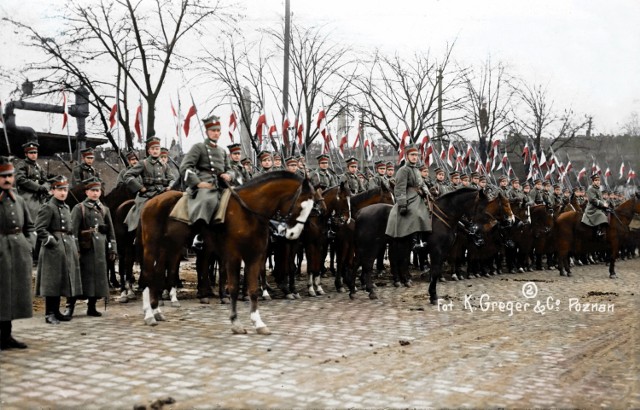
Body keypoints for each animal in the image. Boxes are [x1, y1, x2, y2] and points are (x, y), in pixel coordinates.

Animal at [139, 170, 316, 334]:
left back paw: (156, 311)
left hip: (168, 247)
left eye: (311, 208)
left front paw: (258, 323)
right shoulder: (233, 256)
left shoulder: (254, 256)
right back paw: (148, 315)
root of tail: (152, 202)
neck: (248, 212)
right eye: (300, 205)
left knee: (158, 273)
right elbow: (233, 287)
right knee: (148, 275)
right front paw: (235, 322)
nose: (292, 234)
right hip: (152, 247)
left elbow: (253, 289)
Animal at [352, 188, 512, 302]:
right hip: (371, 247)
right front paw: (433, 296)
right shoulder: (437, 250)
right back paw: (370, 291)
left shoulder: (444, 251)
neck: (444, 216)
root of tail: (359, 212)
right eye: (483, 206)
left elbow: (437, 270)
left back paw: (355, 290)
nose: (495, 224)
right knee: (367, 266)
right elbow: (435, 271)